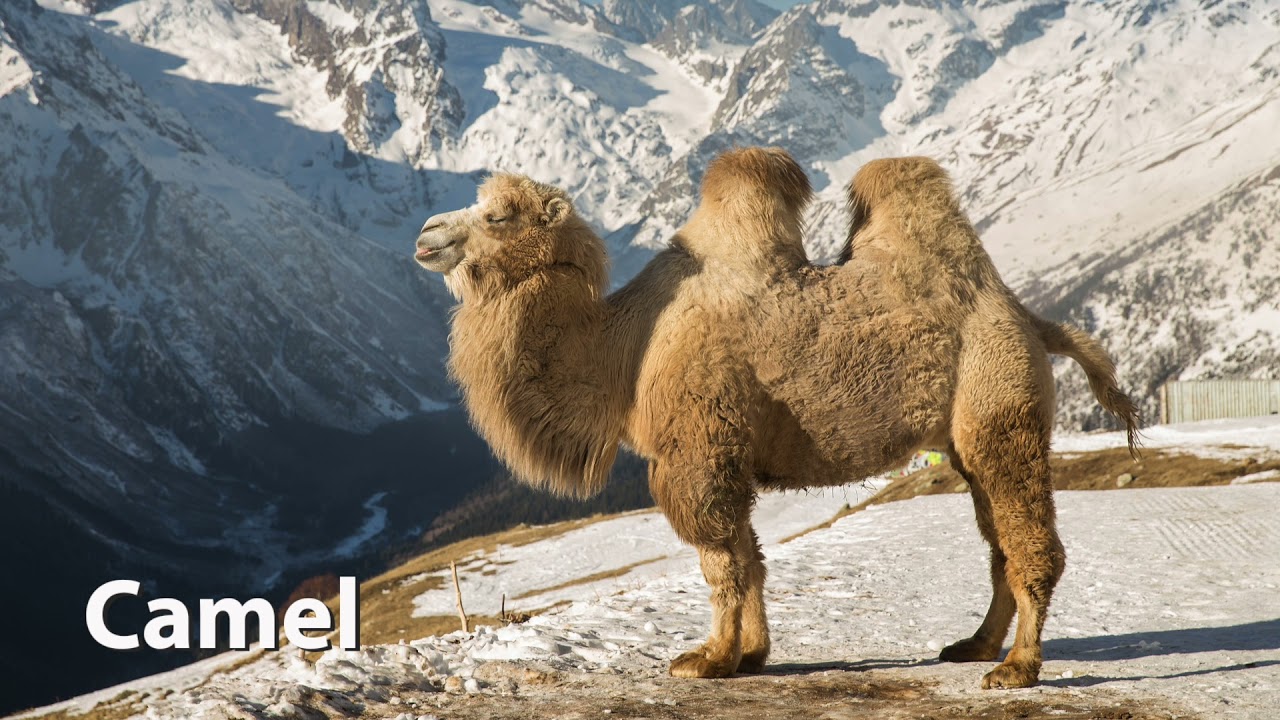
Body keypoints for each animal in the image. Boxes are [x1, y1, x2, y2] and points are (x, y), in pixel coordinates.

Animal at [413, 148, 1139, 689]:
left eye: (497, 214)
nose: (426, 235)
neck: (626, 348)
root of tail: (1027, 318)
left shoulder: (698, 451)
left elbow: (720, 561)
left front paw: (707, 659)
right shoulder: (726, 454)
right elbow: (750, 556)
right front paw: (751, 656)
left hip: (998, 404)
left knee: (1028, 539)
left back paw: (1018, 668)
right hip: (964, 439)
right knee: (995, 540)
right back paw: (975, 646)